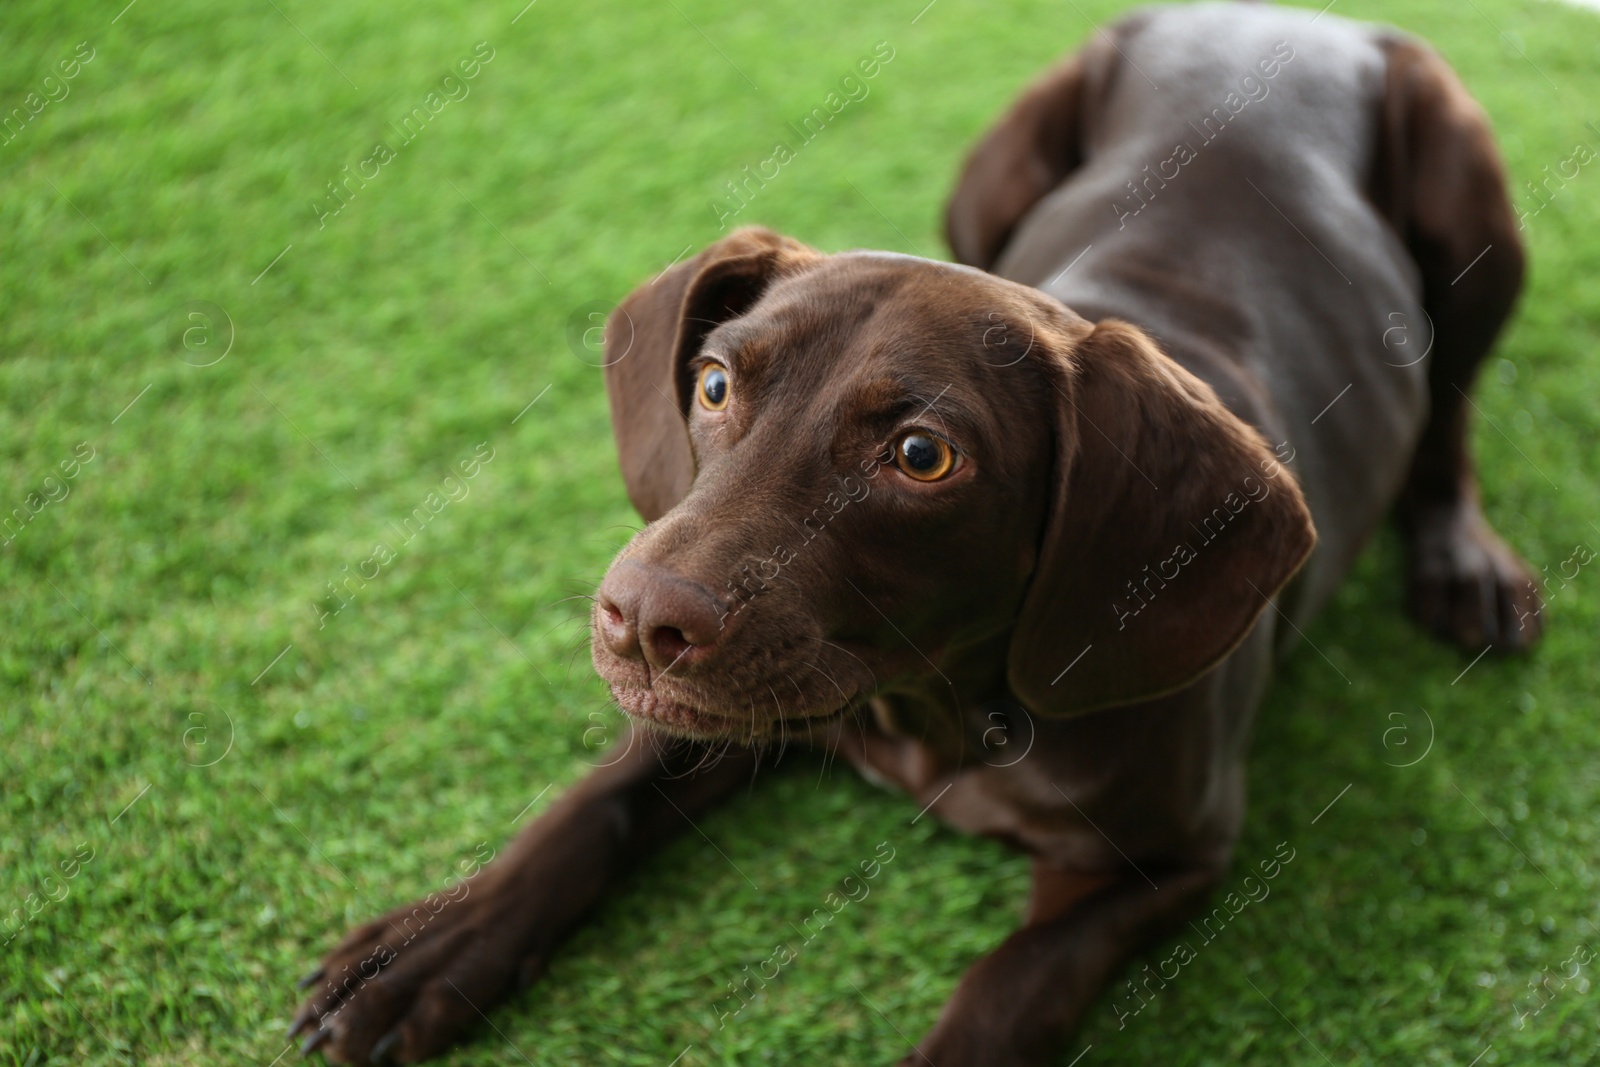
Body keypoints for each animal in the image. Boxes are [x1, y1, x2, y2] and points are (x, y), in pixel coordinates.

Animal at [288, 4, 1536, 1062]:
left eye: (922, 455)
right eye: (712, 383)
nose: (638, 620)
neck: (940, 711)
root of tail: (1301, 18)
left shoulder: (1169, 856)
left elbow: (1006, 987)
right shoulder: (741, 705)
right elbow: (596, 795)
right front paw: (435, 942)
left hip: (1471, 210)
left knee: (1451, 408)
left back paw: (1463, 562)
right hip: (996, 167)